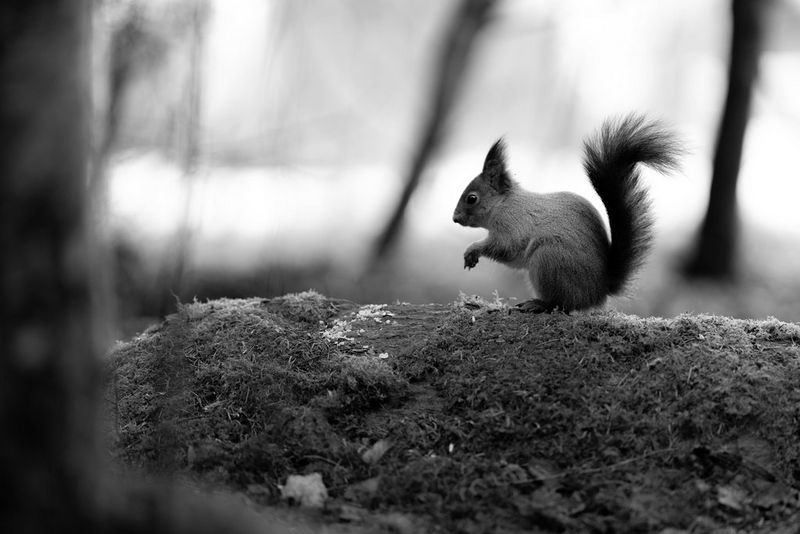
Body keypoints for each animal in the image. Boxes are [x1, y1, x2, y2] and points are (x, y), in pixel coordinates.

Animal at [452, 113, 683, 313]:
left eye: (472, 198)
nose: (455, 219)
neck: (504, 204)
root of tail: (599, 291)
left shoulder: (512, 226)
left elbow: (504, 248)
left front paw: (472, 249)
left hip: (548, 259)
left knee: (563, 304)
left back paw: (539, 304)